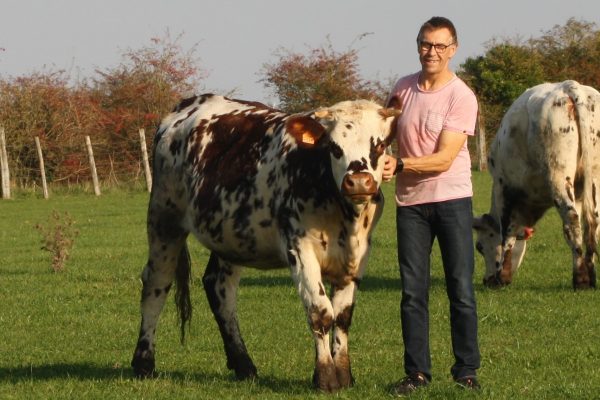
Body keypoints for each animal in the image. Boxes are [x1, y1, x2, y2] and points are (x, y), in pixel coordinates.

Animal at [132, 93, 404, 390]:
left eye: (380, 145)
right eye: (334, 147)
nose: (358, 182)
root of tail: (190, 103)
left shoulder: (357, 254)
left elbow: (342, 316)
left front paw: (344, 375)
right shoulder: (299, 247)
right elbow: (321, 312)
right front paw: (325, 377)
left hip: (229, 234)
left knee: (219, 288)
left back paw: (243, 365)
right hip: (164, 219)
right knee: (156, 285)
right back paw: (143, 363)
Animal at [474, 81, 600, 290]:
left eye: (480, 247)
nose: (487, 280)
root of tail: (569, 85)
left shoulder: (503, 187)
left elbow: (507, 231)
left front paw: (502, 276)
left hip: (558, 176)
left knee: (572, 221)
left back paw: (580, 279)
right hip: (593, 180)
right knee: (593, 224)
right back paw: (590, 276)